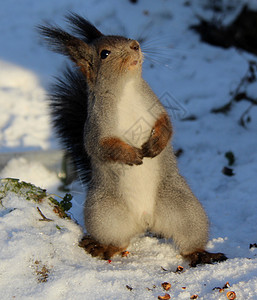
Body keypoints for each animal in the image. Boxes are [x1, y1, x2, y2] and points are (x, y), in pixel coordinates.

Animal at [38, 13, 226, 268]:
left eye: (126, 38)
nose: (135, 45)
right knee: (118, 242)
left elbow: (166, 125)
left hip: (184, 209)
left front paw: (155, 146)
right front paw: (131, 154)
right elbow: (102, 147)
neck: (126, 89)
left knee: (189, 240)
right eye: (105, 53)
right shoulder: (97, 129)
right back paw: (102, 248)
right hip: (104, 215)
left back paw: (201, 254)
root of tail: (146, 221)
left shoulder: (156, 107)